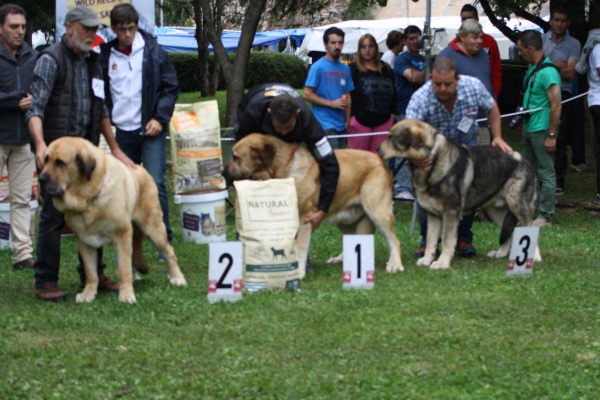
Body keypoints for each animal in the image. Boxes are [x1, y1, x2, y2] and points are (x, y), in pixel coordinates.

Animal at [40, 138, 185, 304]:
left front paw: (126, 295)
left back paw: (177, 278)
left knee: (168, 252)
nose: (41, 179)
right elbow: (91, 273)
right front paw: (88, 294)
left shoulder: (122, 235)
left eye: (59, 162)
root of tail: (141, 168)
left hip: (153, 228)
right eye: (46, 160)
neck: (88, 198)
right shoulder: (84, 241)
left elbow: (123, 270)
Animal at [223, 133, 406, 274]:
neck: (284, 172)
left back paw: (395, 265)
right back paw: (340, 258)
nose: (223, 173)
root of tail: (381, 162)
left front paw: (298, 273)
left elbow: (301, 249)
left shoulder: (304, 220)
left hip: (376, 211)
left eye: (235, 157)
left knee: (394, 240)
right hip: (346, 219)